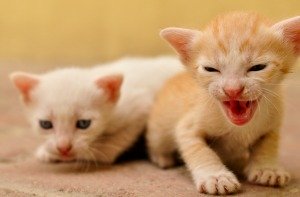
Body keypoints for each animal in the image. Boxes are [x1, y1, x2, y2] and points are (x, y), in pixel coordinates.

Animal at [11, 56, 183, 163]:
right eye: (45, 124)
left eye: (83, 124)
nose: (63, 148)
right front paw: (46, 151)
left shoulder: (140, 107)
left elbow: (114, 145)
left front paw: (90, 153)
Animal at [148, 12, 300, 195]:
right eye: (211, 69)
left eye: (258, 67)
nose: (232, 90)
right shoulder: (187, 127)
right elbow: (201, 151)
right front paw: (216, 177)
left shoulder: (273, 123)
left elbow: (268, 143)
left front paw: (268, 168)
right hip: (158, 131)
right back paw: (162, 157)